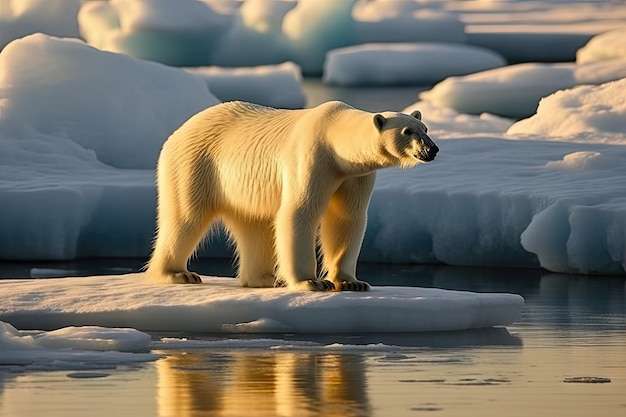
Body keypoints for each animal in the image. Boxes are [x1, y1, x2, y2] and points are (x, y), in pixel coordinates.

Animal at [146, 99, 436, 290]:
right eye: (407, 131)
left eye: (425, 129)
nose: (431, 149)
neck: (334, 139)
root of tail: (177, 132)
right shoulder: (312, 157)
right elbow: (300, 212)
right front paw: (312, 282)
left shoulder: (354, 175)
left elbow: (347, 218)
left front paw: (352, 282)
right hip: (195, 165)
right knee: (185, 218)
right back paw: (179, 274)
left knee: (254, 225)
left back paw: (265, 278)